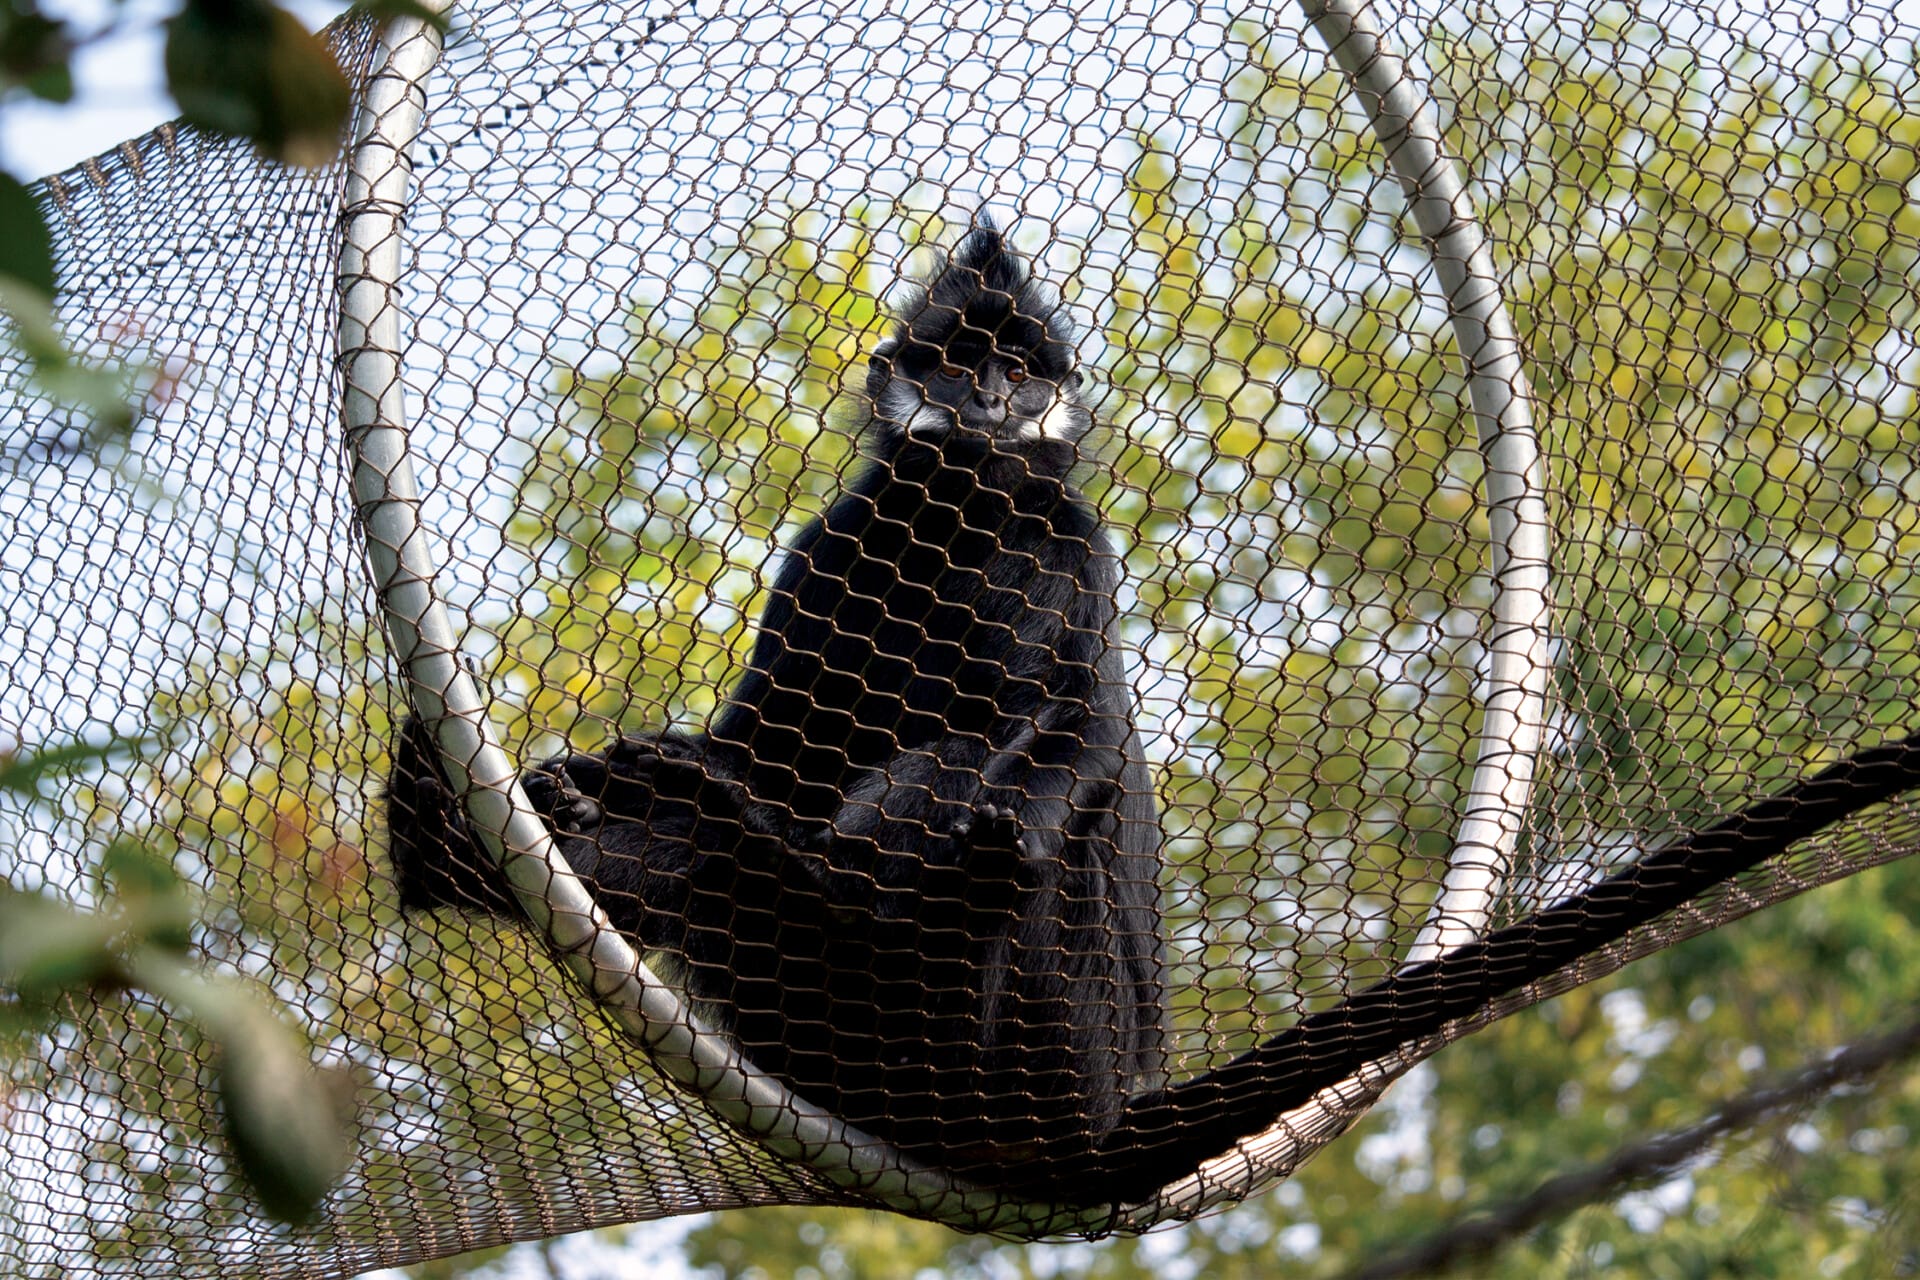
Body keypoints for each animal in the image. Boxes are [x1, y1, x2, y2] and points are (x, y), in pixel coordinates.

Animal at [387, 225, 1167, 1197]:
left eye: (1019, 372)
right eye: (957, 364)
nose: (989, 399)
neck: (962, 522)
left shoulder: (1070, 546)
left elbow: (1085, 733)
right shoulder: (836, 539)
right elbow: (762, 745)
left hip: (1067, 1041)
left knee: (978, 760)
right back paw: (454, 844)